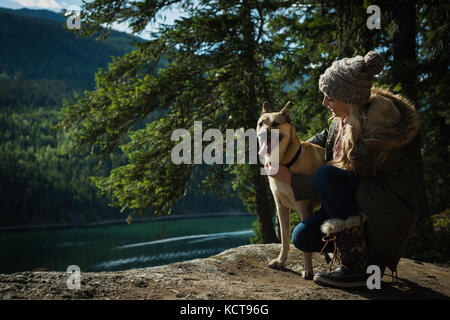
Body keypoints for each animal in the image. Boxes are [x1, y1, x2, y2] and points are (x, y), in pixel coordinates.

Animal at [255, 101, 326, 278]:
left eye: (275, 124)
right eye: (261, 124)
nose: (263, 135)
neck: (285, 161)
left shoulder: (304, 209)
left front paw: (307, 269)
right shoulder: (281, 207)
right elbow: (285, 239)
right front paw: (281, 261)